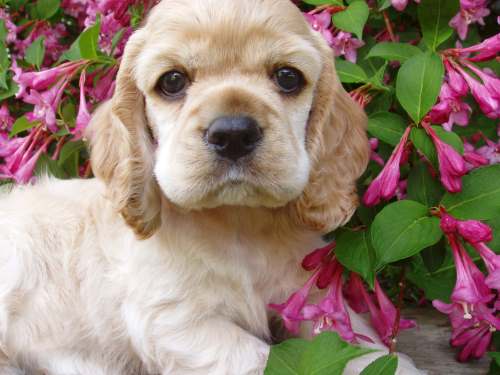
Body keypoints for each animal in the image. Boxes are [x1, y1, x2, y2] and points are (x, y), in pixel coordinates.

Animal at [0, 0, 422, 374]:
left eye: (288, 77)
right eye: (172, 81)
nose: (233, 134)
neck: (238, 225)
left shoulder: (311, 296)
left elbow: (362, 349)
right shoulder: (176, 321)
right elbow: (261, 360)